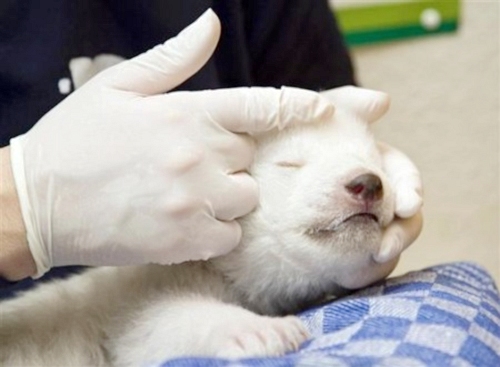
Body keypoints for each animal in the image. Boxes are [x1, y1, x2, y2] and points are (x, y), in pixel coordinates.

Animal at [0, 87, 422, 367]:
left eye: (375, 163)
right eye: (290, 164)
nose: (368, 183)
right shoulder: (133, 296)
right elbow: (153, 325)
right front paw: (261, 331)